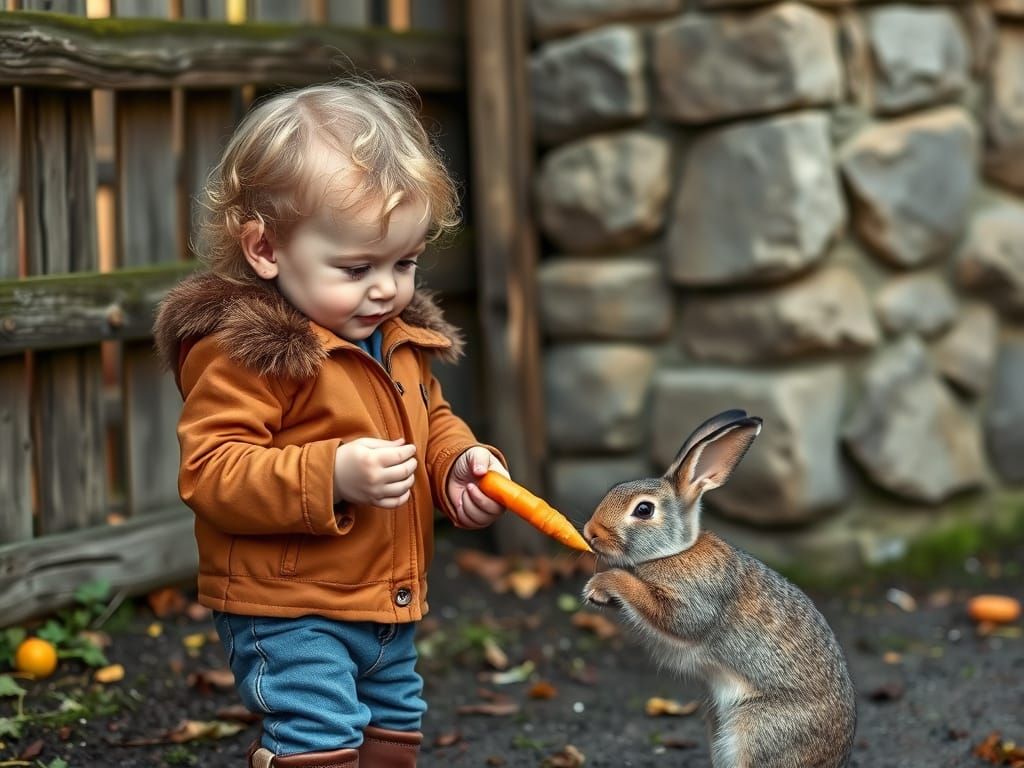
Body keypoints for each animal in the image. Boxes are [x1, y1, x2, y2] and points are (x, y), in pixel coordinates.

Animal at [582, 409, 856, 768]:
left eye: (644, 509)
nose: (590, 532)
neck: (674, 551)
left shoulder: (695, 601)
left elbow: (666, 609)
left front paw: (603, 583)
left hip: (757, 730)